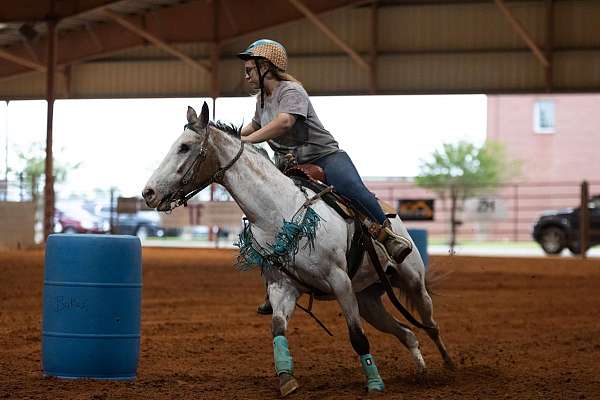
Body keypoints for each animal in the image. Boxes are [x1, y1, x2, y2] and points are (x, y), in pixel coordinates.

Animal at [142, 101, 454, 396]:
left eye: (184, 147)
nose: (148, 193)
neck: (277, 212)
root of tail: (393, 215)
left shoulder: (339, 281)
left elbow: (357, 336)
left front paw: (375, 384)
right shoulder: (283, 286)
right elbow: (278, 329)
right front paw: (286, 379)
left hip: (412, 282)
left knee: (431, 324)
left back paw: (448, 365)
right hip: (368, 300)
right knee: (408, 332)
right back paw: (421, 371)